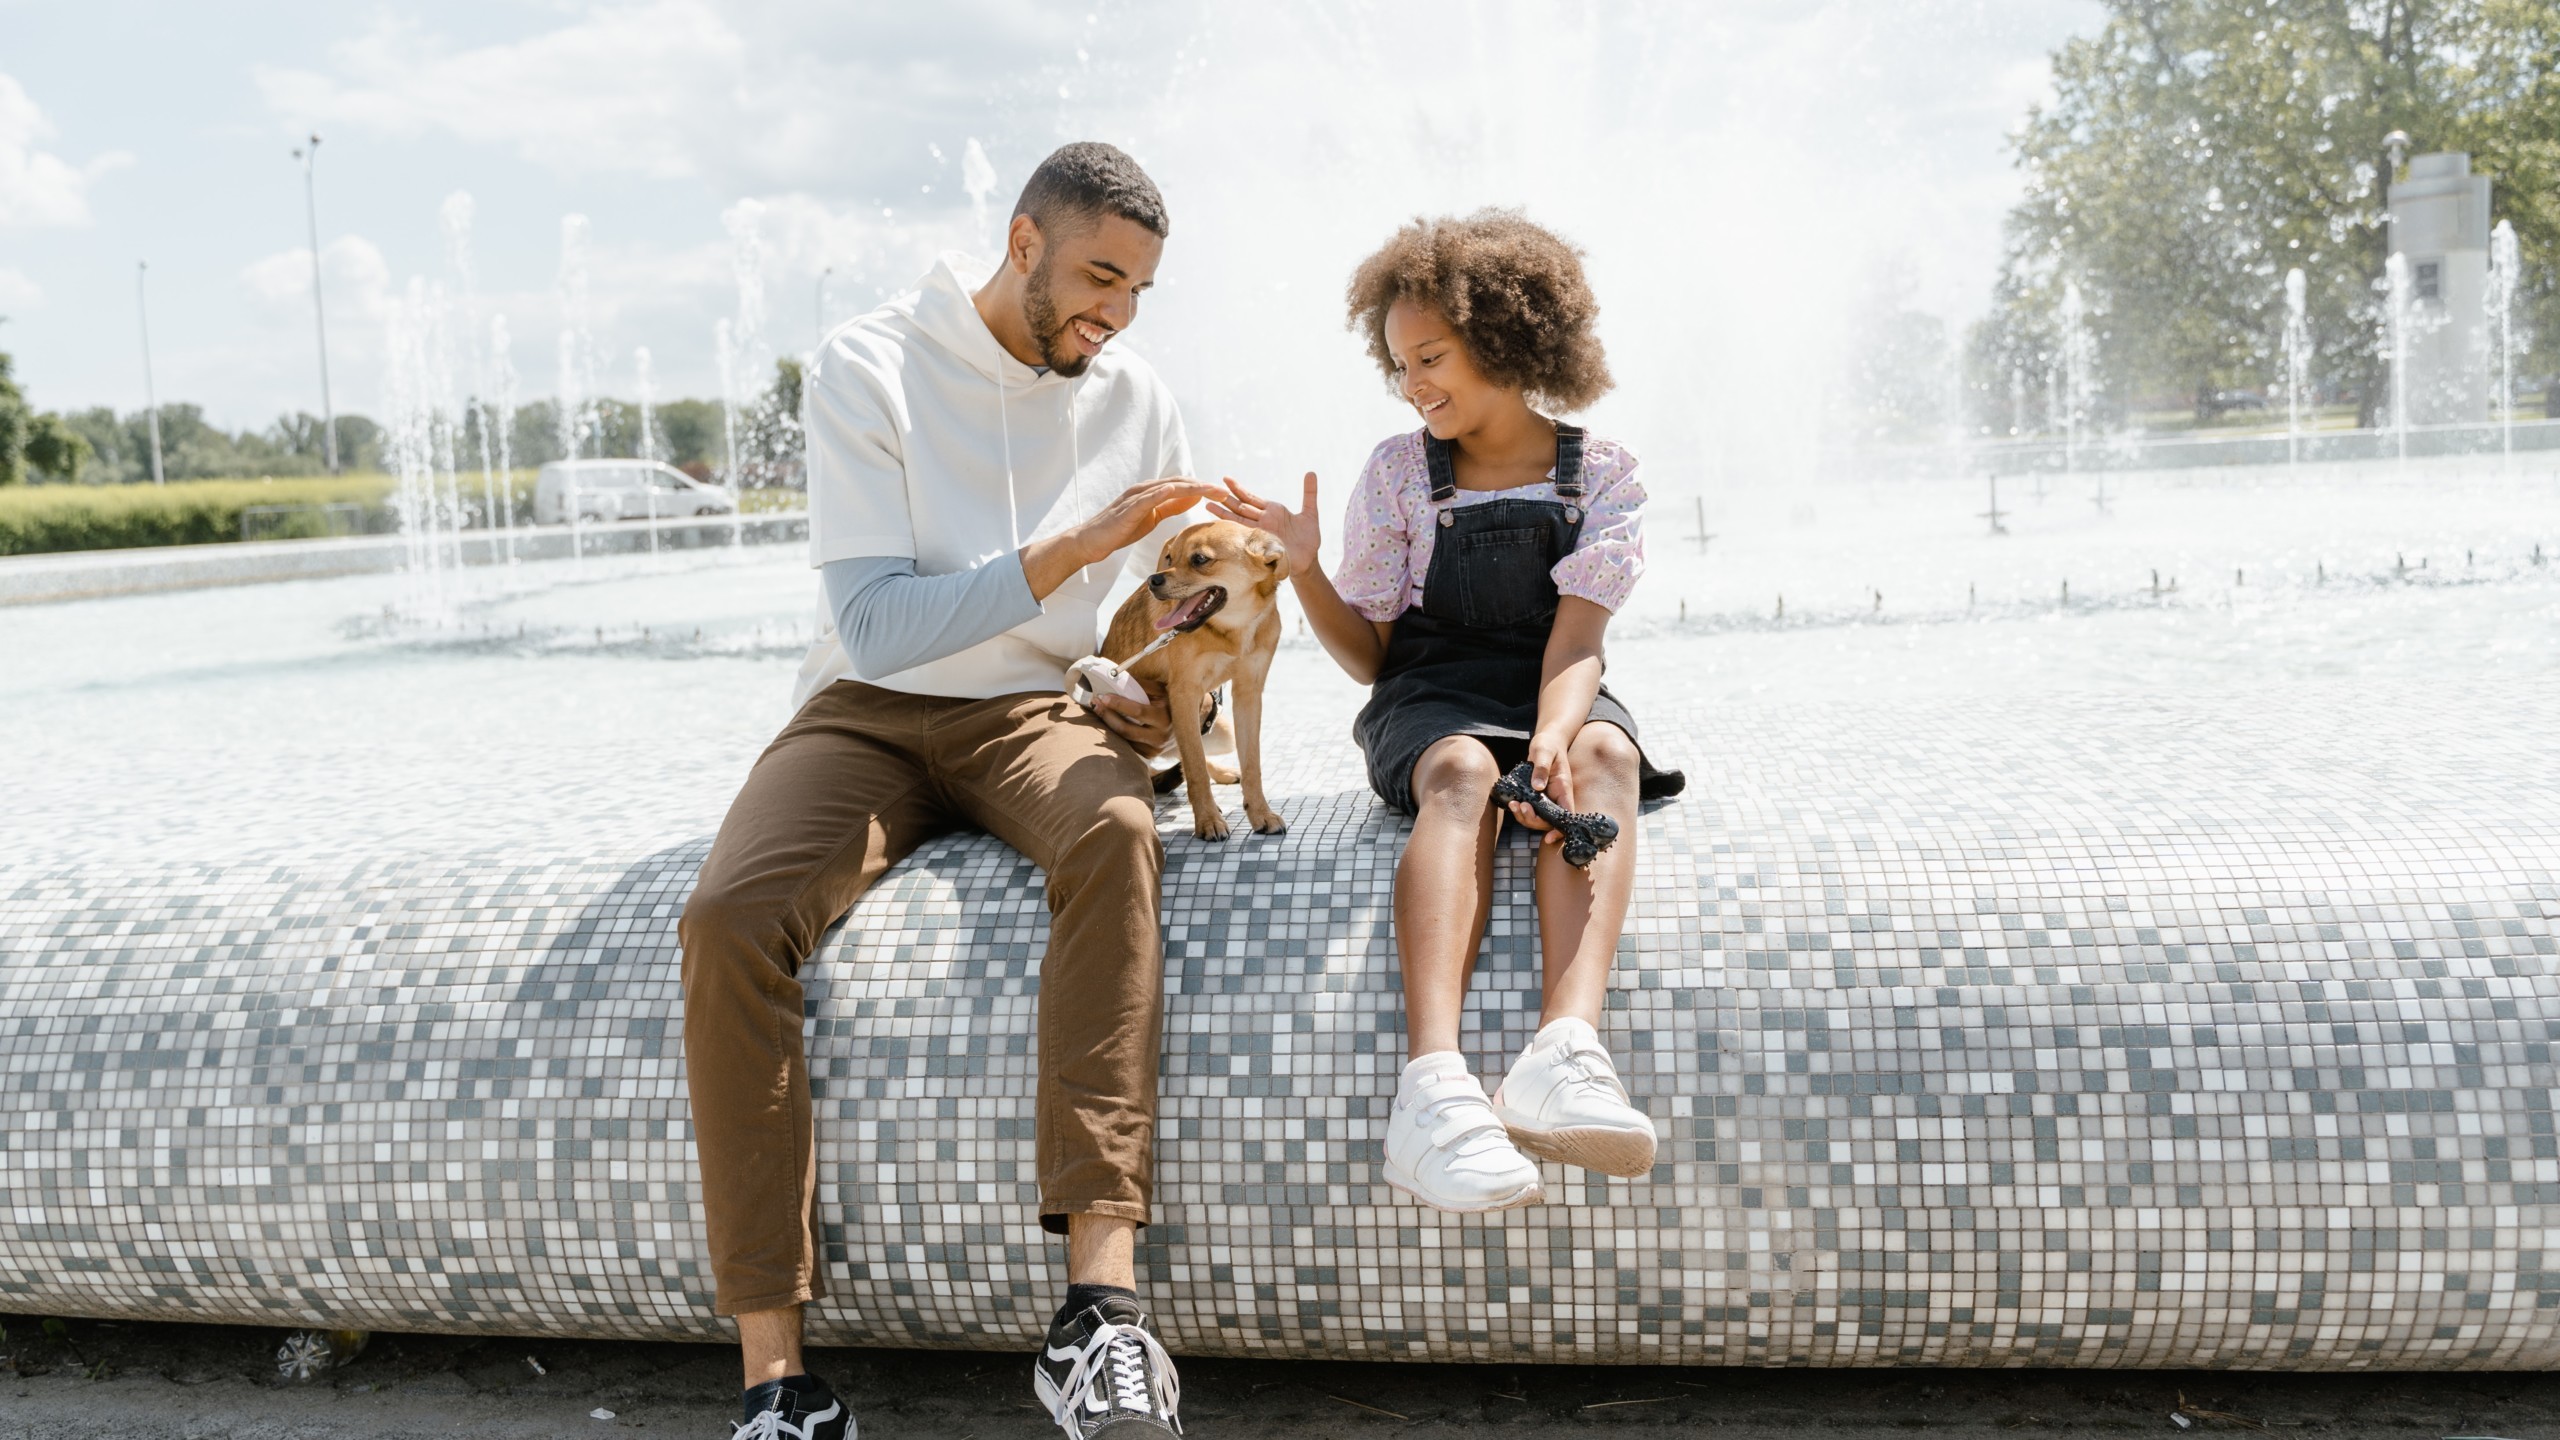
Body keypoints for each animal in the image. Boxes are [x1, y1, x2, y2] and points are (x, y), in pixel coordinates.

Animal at [1095, 517, 1280, 840]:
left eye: (1200, 559)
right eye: (1169, 558)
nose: (1152, 580)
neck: (1233, 629)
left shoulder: (1248, 694)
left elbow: (1252, 764)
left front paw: (1261, 813)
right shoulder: (1184, 693)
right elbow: (1194, 767)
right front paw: (1207, 820)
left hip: (1221, 728)